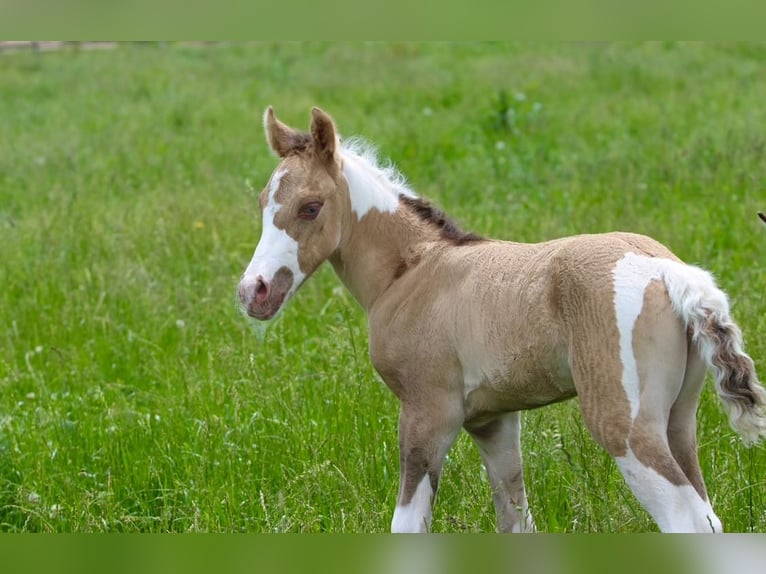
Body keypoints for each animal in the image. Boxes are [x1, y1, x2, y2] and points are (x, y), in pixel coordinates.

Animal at [238, 106, 766, 533]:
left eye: (311, 207)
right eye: (263, 203)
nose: (253, 291)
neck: (412, 271)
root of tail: (670, 270)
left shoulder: (428, 413)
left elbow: (407, 524)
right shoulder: (493, 421)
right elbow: (515, 518)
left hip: (625, 426)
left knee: (685, 519)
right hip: (678, 421)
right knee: (707, 515)